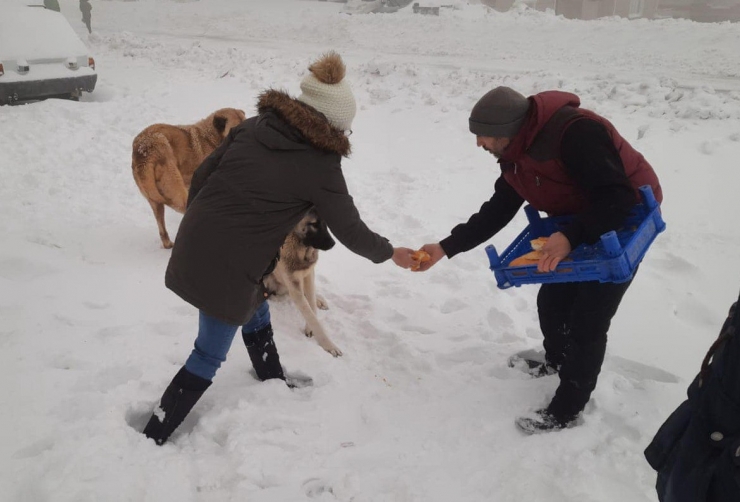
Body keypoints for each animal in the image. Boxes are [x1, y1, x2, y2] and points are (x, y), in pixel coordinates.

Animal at [132, 108, 247, 247]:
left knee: (162, 231)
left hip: (155, 201)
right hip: (177, 191)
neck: (211, 137)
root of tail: (144, 152)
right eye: (236, 128)